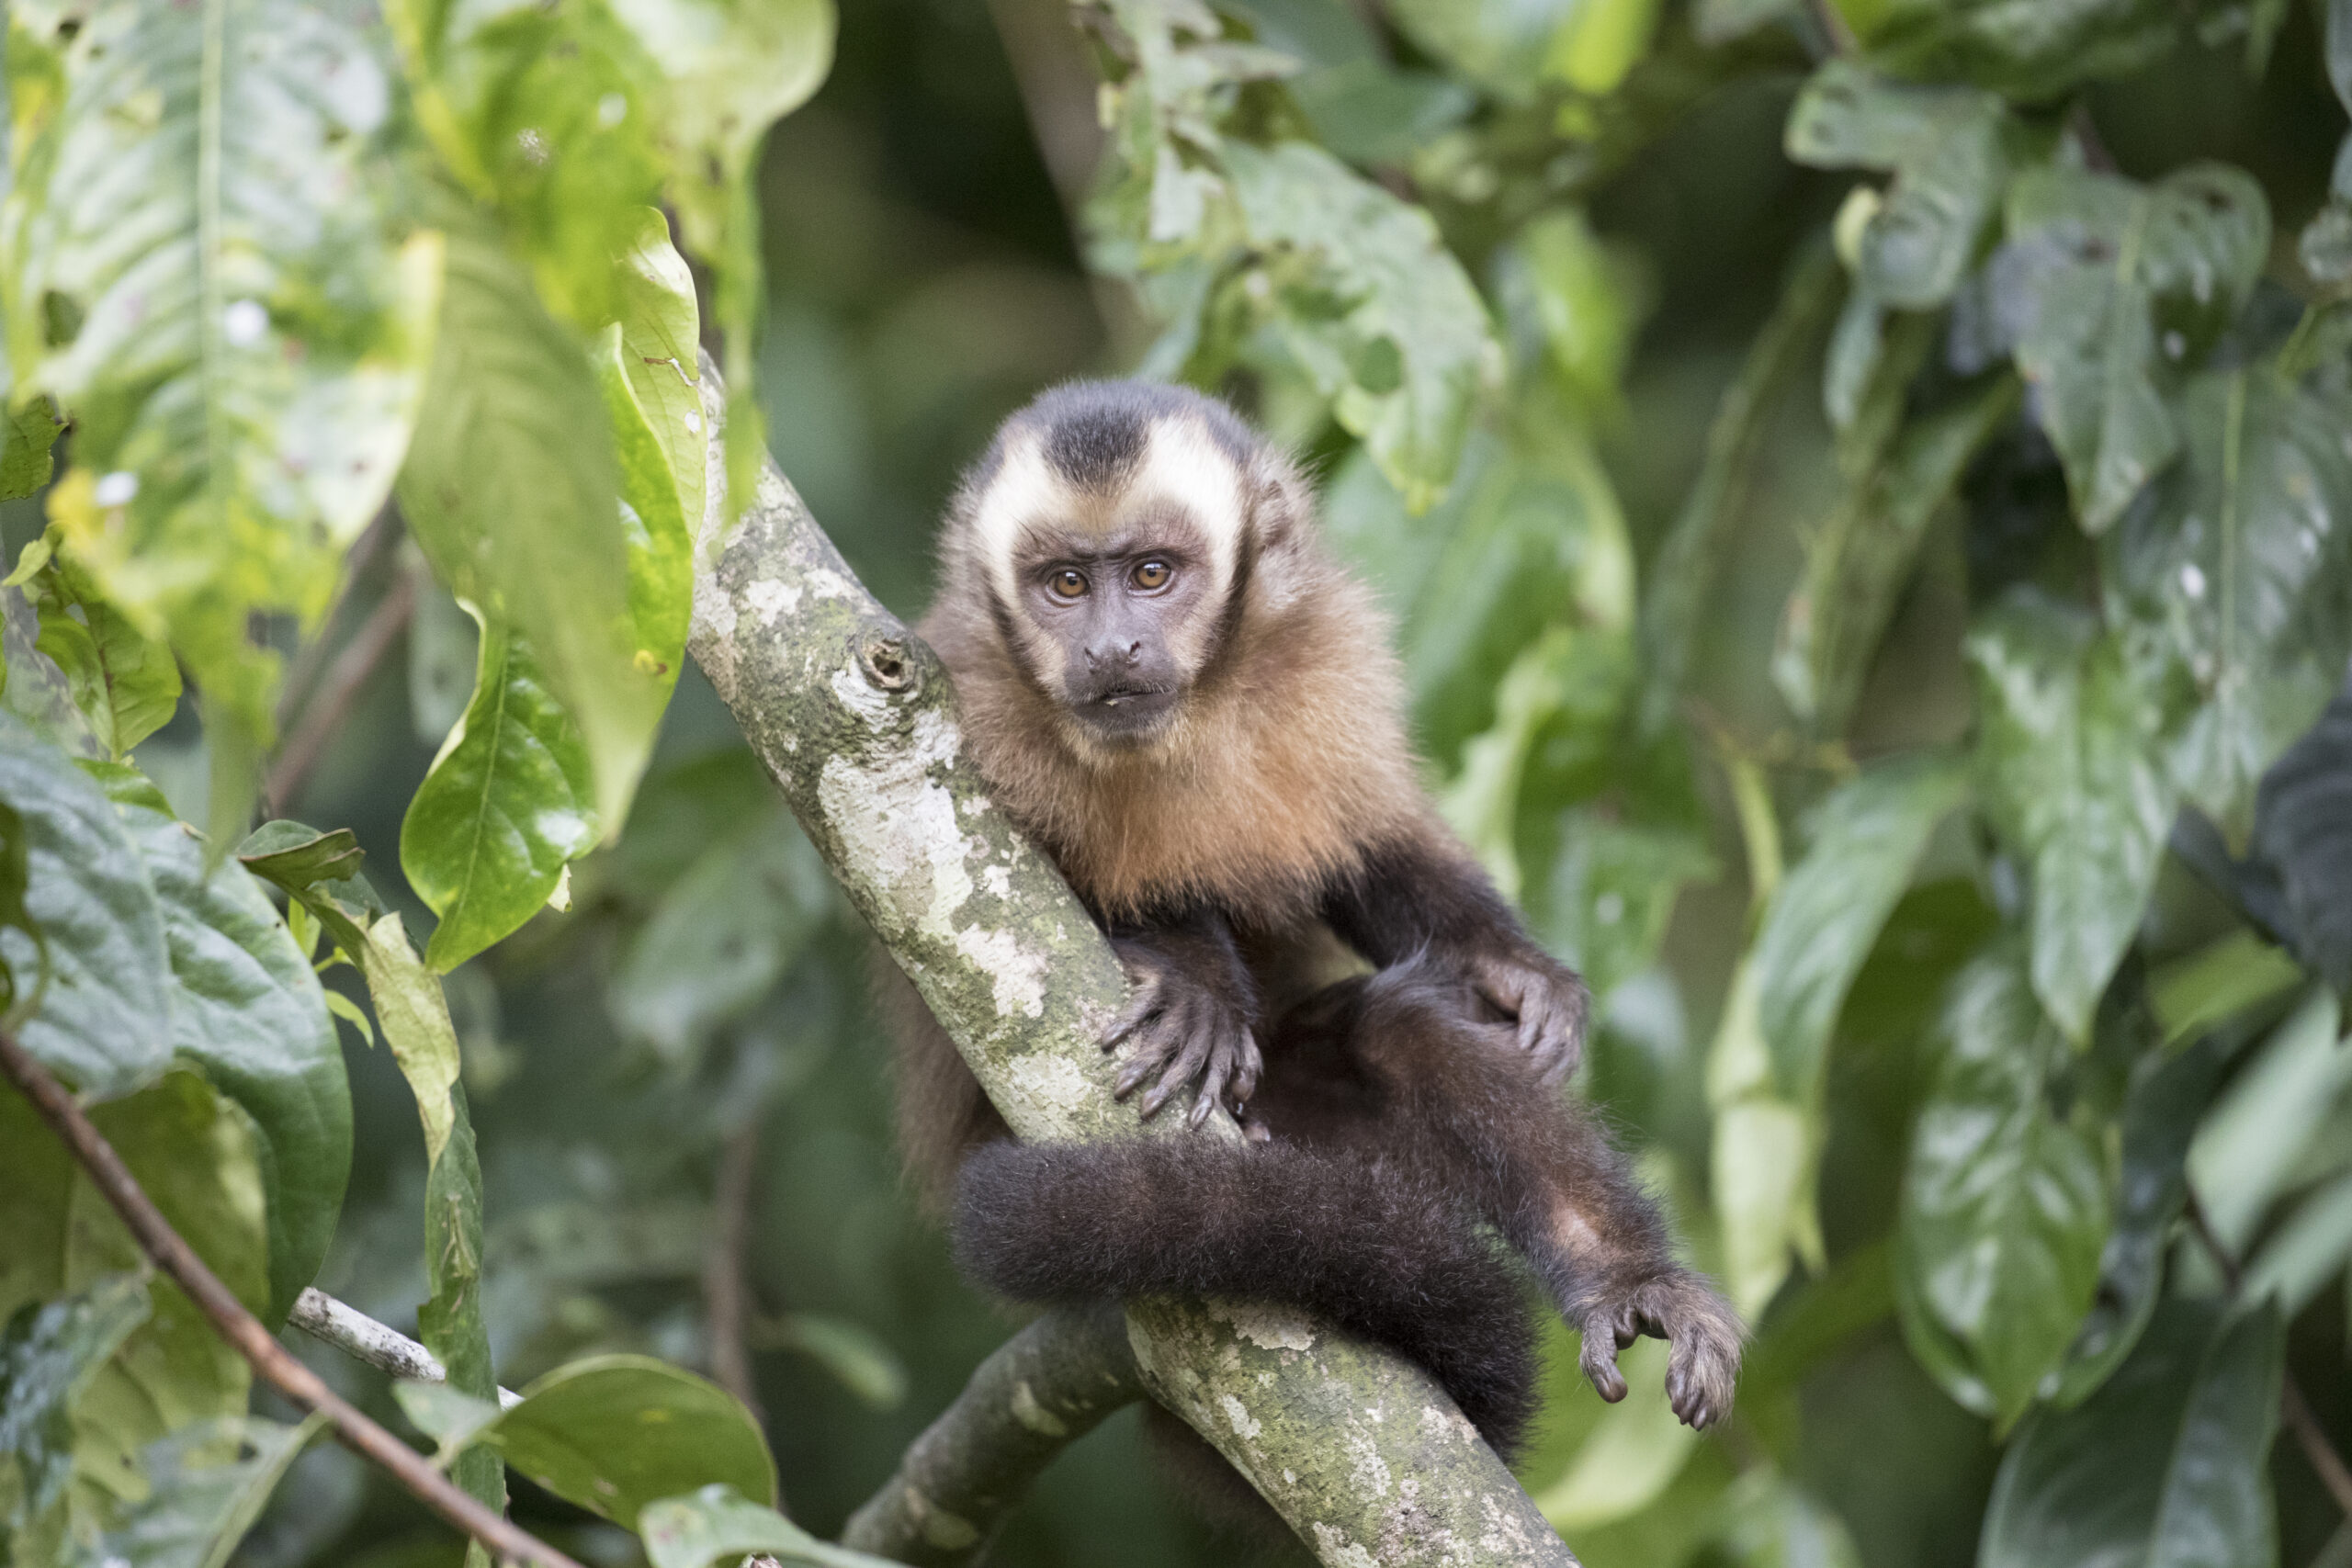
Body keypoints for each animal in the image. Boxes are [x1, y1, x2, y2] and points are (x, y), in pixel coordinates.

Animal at [884, 376, 1749, 1504]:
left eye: (1152, 574)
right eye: (1065, 584)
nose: (1109, 648)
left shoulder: (1324, 649)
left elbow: (1362, 841)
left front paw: (1512, 969)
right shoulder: (971, 687)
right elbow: (1008, 878)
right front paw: (1195, 978)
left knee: (1402, 1032)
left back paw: (1625, 1280)